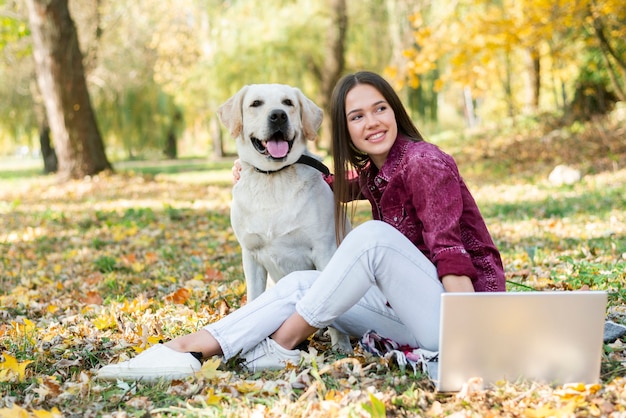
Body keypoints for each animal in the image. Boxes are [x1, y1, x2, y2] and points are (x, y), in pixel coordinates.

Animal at [217, 84, 348, 352]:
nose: (278, 115)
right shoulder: (250, 254)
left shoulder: (324, 249)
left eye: (288, 102)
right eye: (255, 103)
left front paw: (343, 347)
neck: (272, 178)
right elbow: (254, 298)